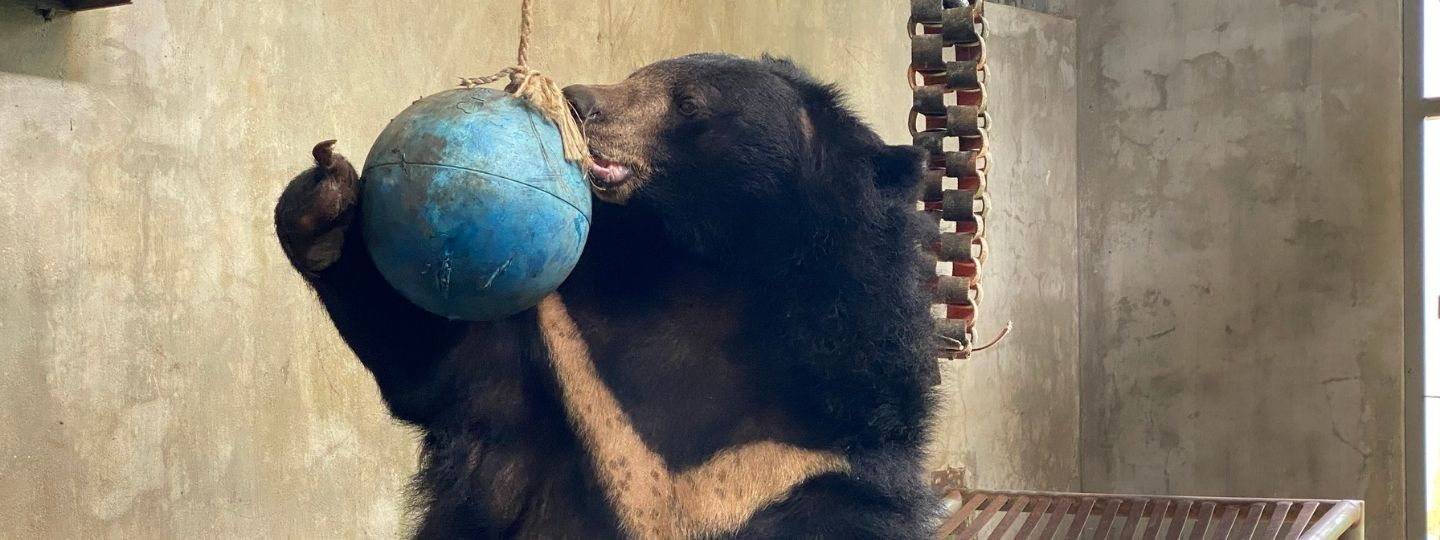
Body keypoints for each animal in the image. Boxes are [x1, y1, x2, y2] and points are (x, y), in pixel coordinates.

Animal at [274, 53, 941, 539]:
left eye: (688, 102)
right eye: (639, 71)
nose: (576, 99)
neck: (694, 270)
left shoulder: (807, 451)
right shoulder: (559, 355)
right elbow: (438, 373)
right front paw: (323, 199)